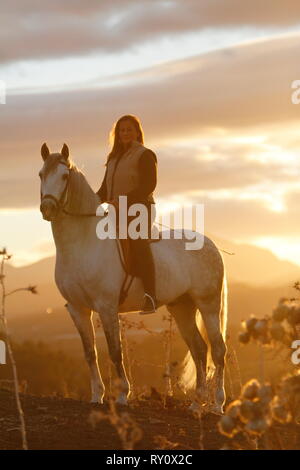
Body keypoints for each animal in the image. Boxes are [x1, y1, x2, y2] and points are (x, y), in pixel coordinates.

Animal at [39, 142, 227, 412]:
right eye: (41, 175)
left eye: (64, 176)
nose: (48, 208)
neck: (82, 244)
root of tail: (211, 245)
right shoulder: (77, 308)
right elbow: (90, 352)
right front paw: (96, 396)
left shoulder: (106, 307)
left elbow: (114, 351)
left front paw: (121, 396)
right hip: (182, 307)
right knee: (200, 349)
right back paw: (196, 403)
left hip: (208, 304)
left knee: (218, 350)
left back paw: (217, 405)